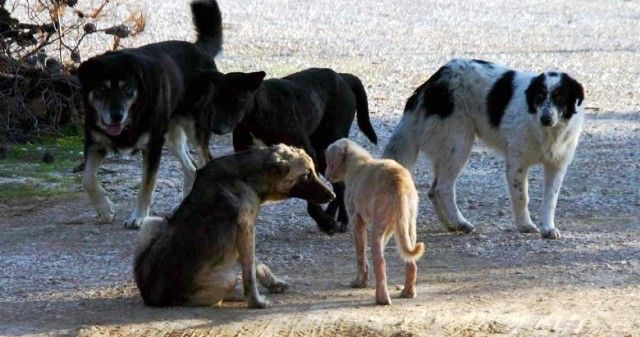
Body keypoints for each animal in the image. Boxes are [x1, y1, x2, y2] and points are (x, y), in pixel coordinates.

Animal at [78, 0, 222, 228]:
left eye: (127, 88)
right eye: (102, 89)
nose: (116, 115)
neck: (131, 118)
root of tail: (199, 49)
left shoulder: (153, 146)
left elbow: (146, 186)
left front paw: (138, 217)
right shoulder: (95, 143)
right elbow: (88, 179)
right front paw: (105, 210)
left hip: (194, 128)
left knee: (205, 160)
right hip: (171, 136)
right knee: (191, 169)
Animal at [135, 144, 336, 308]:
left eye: (313, 171)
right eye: (306, 174)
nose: (332, 195)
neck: (246, 178)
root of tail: (150, 297)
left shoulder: (245, 234)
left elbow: (257, 265)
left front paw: (272, 284)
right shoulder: (246, 229)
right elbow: (249, 273)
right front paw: (256, 301)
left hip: (153, 222)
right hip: (225, 279)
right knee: (220, 294)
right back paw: (237, 295)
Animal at [192, 67, 378, 234]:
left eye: (235, 100)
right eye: (214, 101)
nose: (215, 128)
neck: (257, 114)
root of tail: (343, 77)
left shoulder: (308, 153)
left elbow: (311, 194)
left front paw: (324, 221)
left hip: (326, 146)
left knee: (340, 185)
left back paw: (342, 220)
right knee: (337, 183)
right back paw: (331, 215)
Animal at [324, 138, 424, 304]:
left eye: (328, 162)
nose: (326, 175)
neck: (357, 161)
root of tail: (399, 182)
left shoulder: (356, 221)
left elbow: (360, 254)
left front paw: (360, 282)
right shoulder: (390, 228)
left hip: (378, 227)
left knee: (380, 261)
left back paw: (382, 299)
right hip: (408, 226)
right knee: (410, 262)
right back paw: (408, 292)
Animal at [384, 59, 584, 238]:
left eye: (560, 97)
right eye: (539, 97)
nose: (546, 119)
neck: (547, 131)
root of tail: (434, 80)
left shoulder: (556, 165)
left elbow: (551, 200)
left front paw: (548, 228)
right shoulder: (516, 164)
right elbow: (521, 197)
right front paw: (525, 225)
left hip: (447, 150)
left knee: (433, 191)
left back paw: (450, 225)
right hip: (459, 143)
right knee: (443, 188)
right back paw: (460, 222)